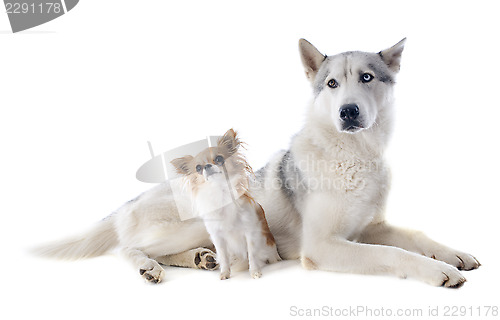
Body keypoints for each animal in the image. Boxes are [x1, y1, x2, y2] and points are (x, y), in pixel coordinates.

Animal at [37, 38, 478, 286]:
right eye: (332, 84)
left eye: (367, 78)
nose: (348, 112)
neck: (353, 156)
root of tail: (127, 204)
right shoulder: (322, 247)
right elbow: (393, 254)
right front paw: (438, 272)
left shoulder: (371, 227)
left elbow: (415, 237)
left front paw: (452, 254)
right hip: (191, 222)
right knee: (127, 248)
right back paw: (150, 267)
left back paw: (201, 259)